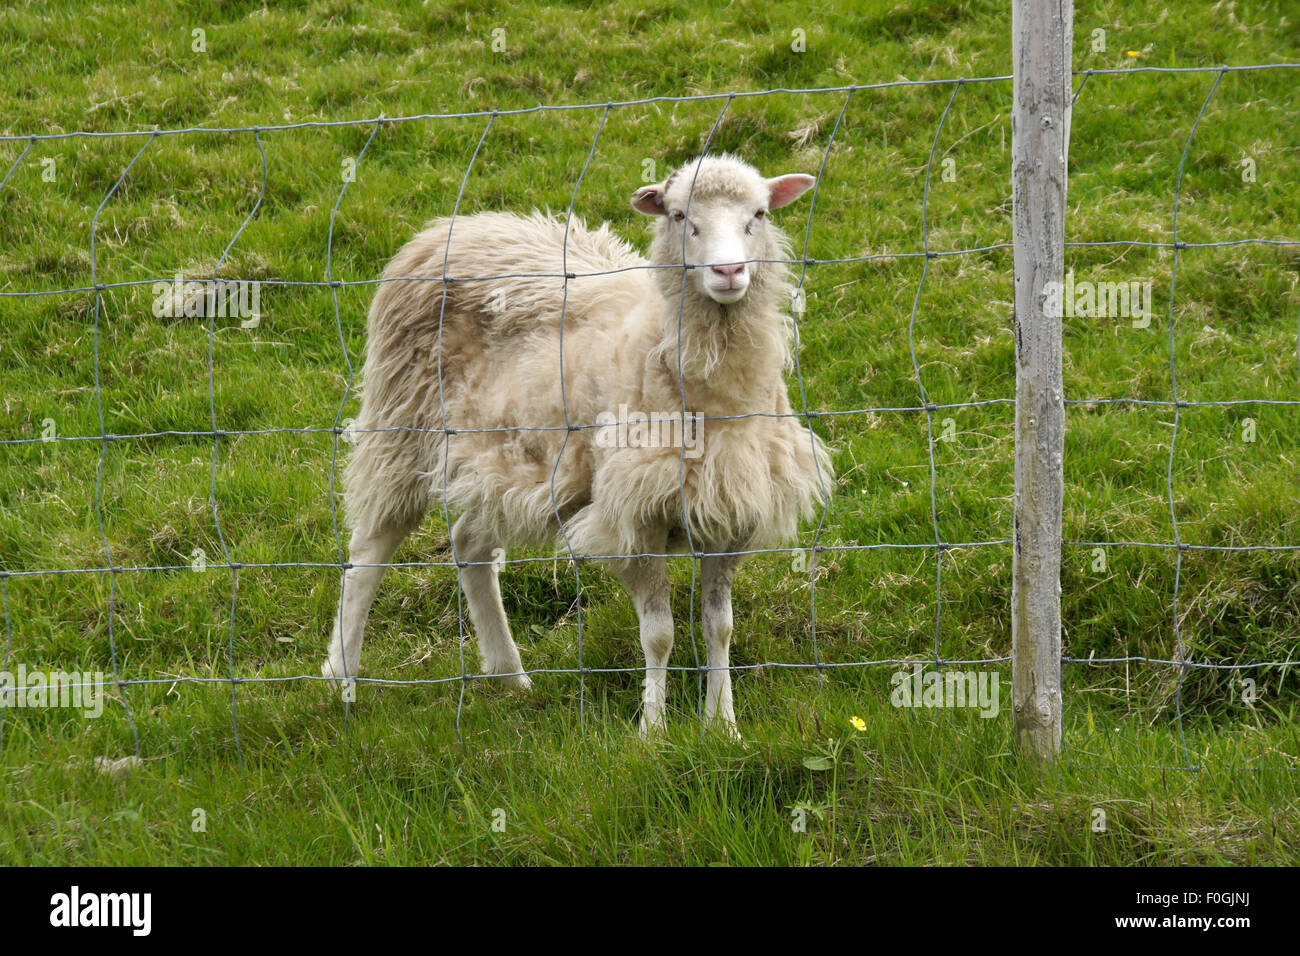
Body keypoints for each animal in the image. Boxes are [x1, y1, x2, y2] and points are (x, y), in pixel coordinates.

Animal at [323, 153, 832, 733]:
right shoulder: (633, 517)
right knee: (369, 553)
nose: (729, 273)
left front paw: (722, 726)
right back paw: (341, 676)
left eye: (759, 214)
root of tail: (452, 227)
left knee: (468, 545)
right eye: (680, 216)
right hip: (402, 427)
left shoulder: (732, 510)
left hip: (497, 454)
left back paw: (510, 676)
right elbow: (659, 634)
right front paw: (653, 731)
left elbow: (718, 626)